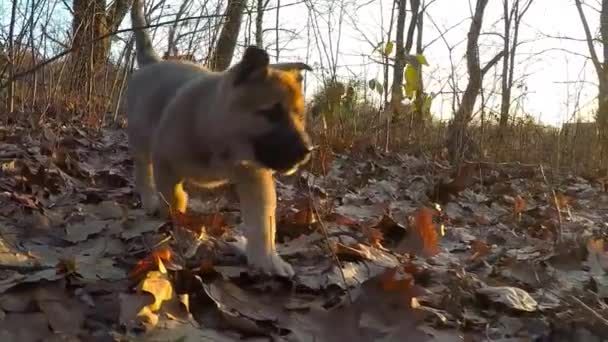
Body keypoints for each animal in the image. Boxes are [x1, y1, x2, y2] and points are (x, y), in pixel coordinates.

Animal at [125, 0, 312, 278]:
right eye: (271, 113)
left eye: (300, 117)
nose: (307, 150)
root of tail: (152, 63)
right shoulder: (165, 164)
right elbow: (174, 200)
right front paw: (179, 224)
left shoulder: (256, 178)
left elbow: (262, 223)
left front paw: (266, 258)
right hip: (140, 141)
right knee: (142, 173)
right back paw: (149, 201)